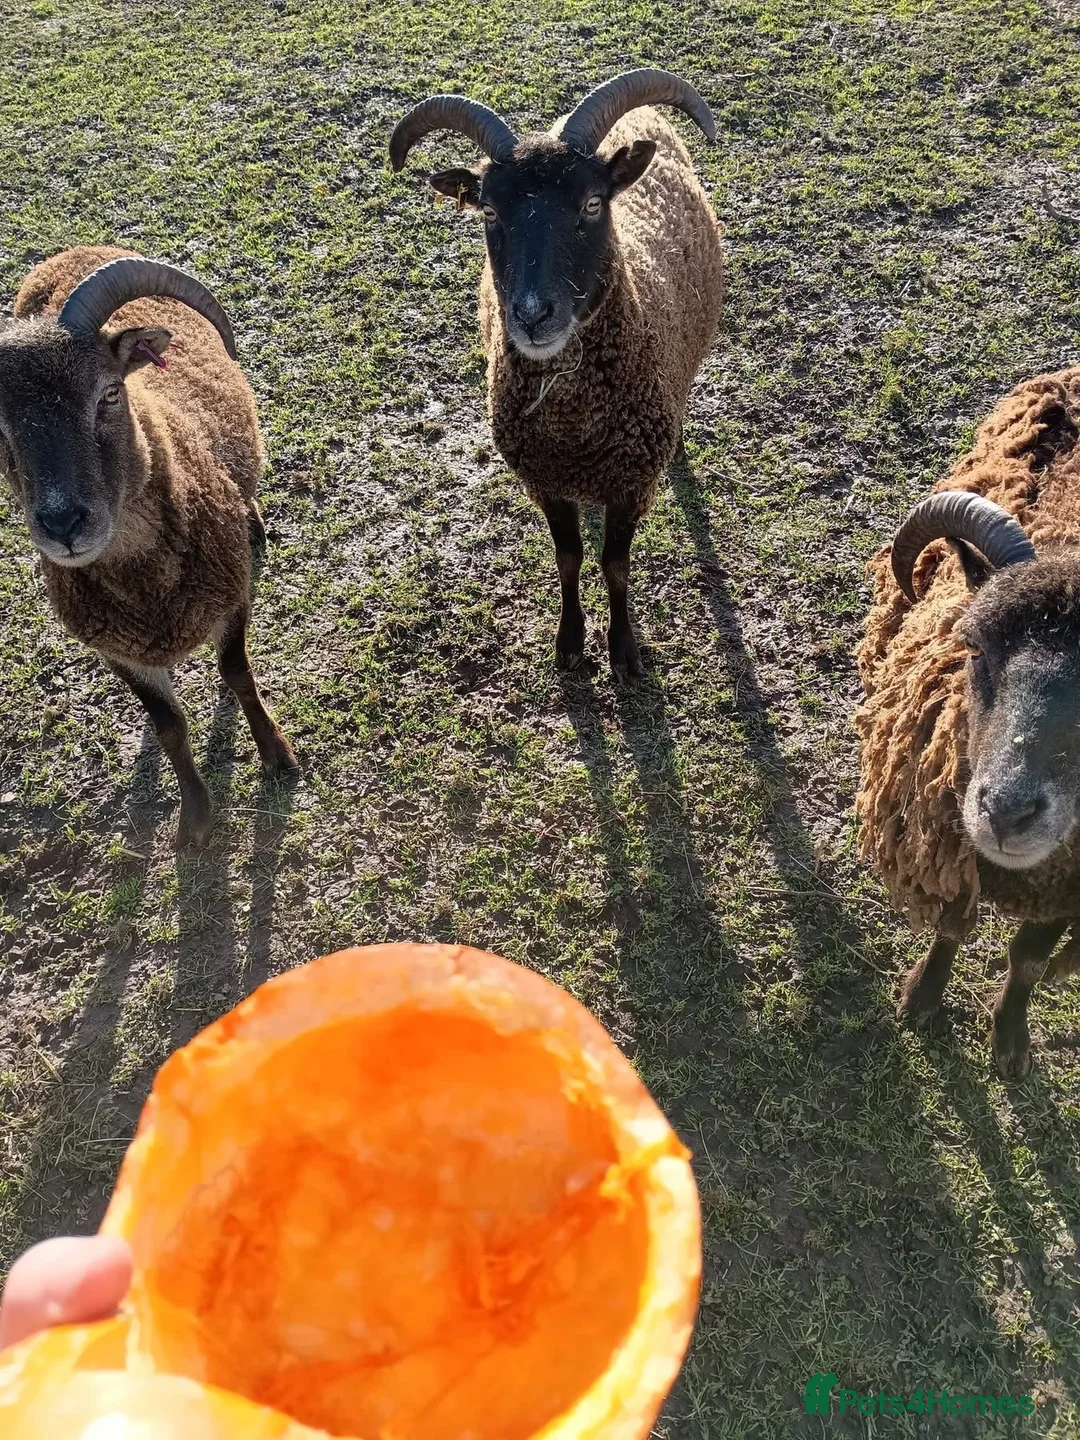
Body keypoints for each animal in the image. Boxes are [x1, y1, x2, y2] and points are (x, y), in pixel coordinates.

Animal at [0, 246, 296, 847]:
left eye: (110, 393)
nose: (63, 524)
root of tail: (73, 248)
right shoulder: (118, 652)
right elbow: (169, 727)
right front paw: (196, 817)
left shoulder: (232, 596)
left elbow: (236, 672)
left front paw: (277, 757)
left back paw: (255, 521)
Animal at [390, 69, 724, 679]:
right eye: (489, 212)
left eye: (592, 203)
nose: (531, 314)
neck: (576, 429)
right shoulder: (544, 481)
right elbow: (569, 558)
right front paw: (570, 642)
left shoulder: (631, 483)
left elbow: (615, 565)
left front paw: (623, 650)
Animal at [855, 368, 1080, 1077]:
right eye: (976, 647)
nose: (1007, 813)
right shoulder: (952, 838)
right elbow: (952, 928)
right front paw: (922, 1001)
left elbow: (1029, 961)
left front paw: (1010, 1039)